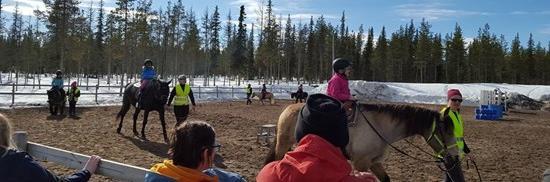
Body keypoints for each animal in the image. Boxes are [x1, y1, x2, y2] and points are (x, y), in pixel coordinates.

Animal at [268, 103, 466, 181]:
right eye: (446, 131)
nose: (455, 157)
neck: (380, 125)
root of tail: (288, 109)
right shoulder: (361, 164)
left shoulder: (374, 162)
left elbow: (385, 179)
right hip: (282, 144)